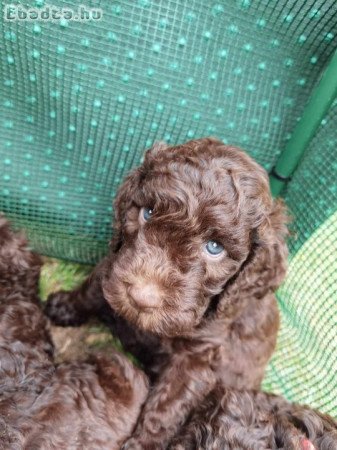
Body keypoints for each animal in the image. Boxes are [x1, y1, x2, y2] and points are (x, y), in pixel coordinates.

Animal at [44, 139, 334, 448]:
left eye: (215, 247)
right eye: (147, 213)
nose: (141, 297)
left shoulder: (197, 360)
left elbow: (165, 408)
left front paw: (141, 443)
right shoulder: (112, 267)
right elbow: (90, 291)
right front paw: (63, 306)